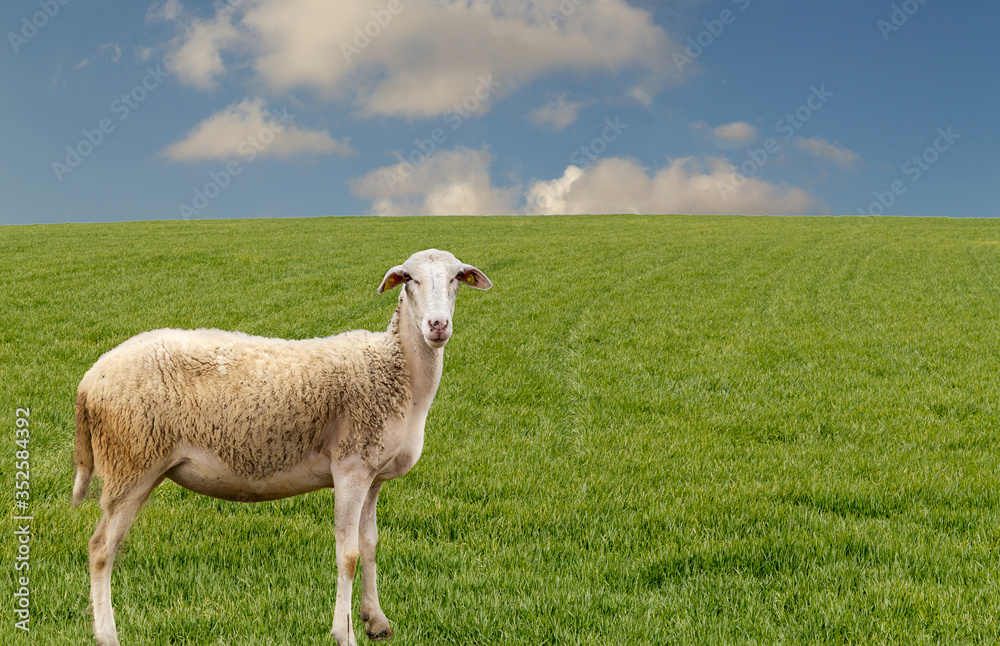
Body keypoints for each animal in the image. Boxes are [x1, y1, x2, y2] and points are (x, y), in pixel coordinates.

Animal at [72, 249, 492, 646]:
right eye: (408, 279)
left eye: (457, 277)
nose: (438, 326)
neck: (396, 371)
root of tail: (90, 379)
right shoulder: (350, 468)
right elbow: (348, 555)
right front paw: (344, 633)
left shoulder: (373, 475)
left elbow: (370, 545)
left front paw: (376, 622)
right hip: (131, 463)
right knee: (101, 549)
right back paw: (107, 635)